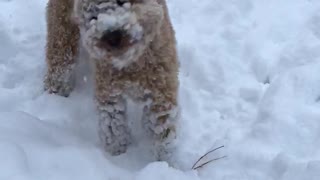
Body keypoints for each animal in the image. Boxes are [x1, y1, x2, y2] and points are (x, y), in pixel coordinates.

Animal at [44, 0, 180, 161]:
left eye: (122, 2)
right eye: (93, 15)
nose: (112, 36)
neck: (131, 63)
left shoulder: (161, 92)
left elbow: (162, 134)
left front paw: (164, 162)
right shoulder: (109, 93)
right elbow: (114, 128)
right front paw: (118, 156)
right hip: (62, 28)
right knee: (59, 62)